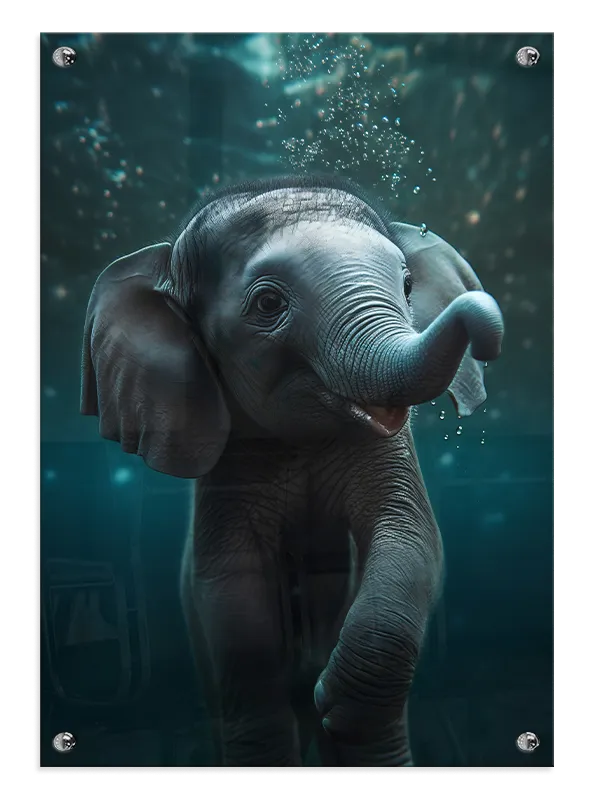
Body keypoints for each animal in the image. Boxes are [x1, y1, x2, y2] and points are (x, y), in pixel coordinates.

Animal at [80, 175, 504, 767]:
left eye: (407, 283)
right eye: (268, 303)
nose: (484, 320)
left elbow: (412, 538)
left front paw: (336, 703)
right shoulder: (230, 465)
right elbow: (232, 584)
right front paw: (312, 695)